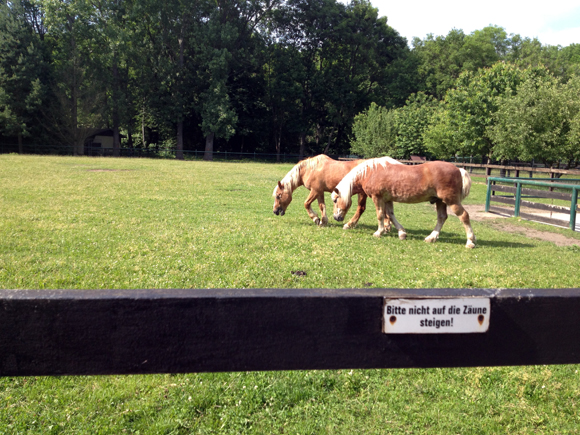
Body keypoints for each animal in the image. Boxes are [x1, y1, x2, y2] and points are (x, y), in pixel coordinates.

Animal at [330, 158, 476, 249]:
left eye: (335, 200)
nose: (336, 218)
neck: (370, 172)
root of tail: (458, 169)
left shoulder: (378, 198)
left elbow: (380, 215)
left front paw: (379, 232)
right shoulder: (387, 199)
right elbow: (390, 215)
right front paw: (402, 233)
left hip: (451, 201)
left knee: (464, 216)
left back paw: (470, 242)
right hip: (440, 201)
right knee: (442, 218)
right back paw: (431, 237)